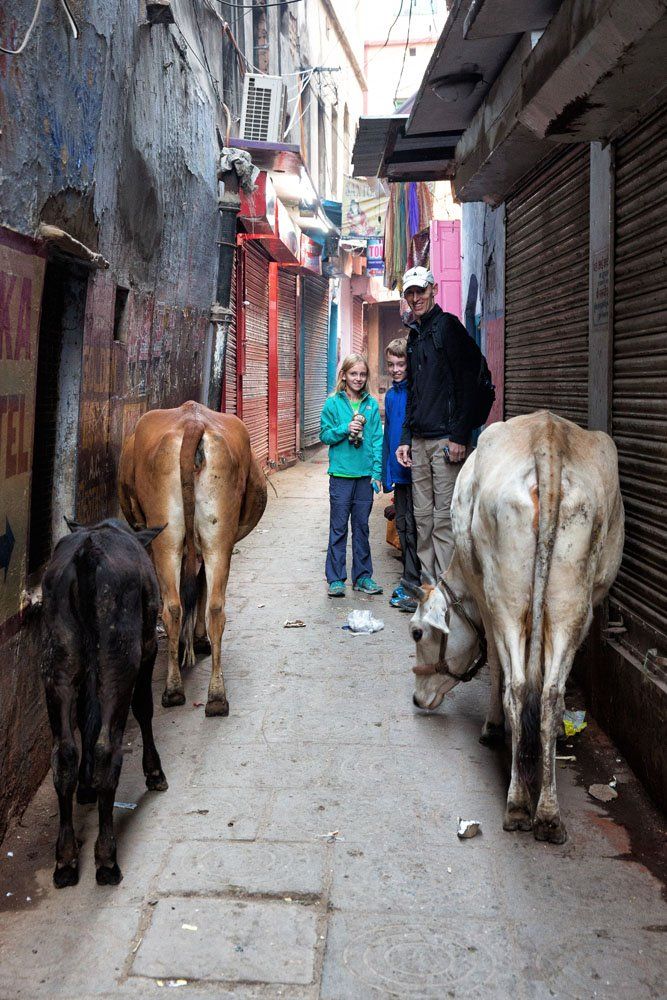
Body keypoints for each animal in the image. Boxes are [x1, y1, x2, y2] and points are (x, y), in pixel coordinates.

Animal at [40, 520, 168, 888]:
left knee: (64, 753)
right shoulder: (149, 645)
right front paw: (154, 771)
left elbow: (86, 717)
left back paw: (66, 860)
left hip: (60, 660)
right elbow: (144, 708)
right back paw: (106, 859)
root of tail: (87, 554)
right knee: (107, 747)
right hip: (120, 658)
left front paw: (85, 787)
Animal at [118, 402, 268, 716]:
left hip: (166, 537)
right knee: (215, 608)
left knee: (173, 606)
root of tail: (192, 422)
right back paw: (216, 696)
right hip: (217, 537)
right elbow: (200, 586)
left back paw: (174, 688)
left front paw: (195, 639)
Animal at [408, 410, 628, 840]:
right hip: (564, 603)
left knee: (521, 686)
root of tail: (548, 439)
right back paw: (545, 812)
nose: (416, 699)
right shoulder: (588, 605)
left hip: (507, 600)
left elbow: (496, 666)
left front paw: (495, 728)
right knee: (545, 692)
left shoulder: (486, 600)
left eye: (417, 632)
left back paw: (519, 805)